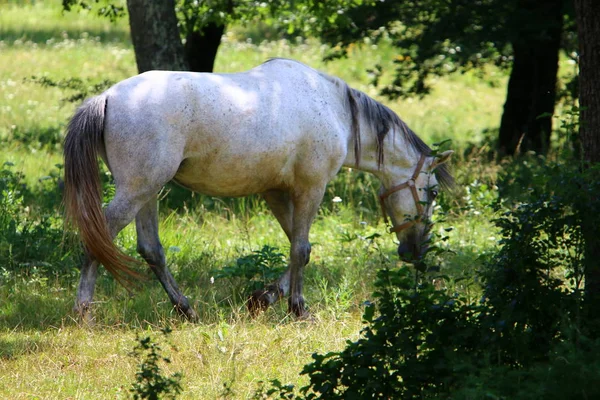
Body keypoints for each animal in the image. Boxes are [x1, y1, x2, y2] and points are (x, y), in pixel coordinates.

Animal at [63, 57, 452, 320]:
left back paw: (186, 309)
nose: (416, 252)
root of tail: (106, 97)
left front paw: (265, 298)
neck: (333, 106)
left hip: (147, 192)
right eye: (432, 192)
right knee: (99, 236)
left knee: (151, 249)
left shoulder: (276, 192)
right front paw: (298, 308)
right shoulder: (311, 188)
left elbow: (296, 244)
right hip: (136, 191)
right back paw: (84, 311)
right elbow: (301, 249)